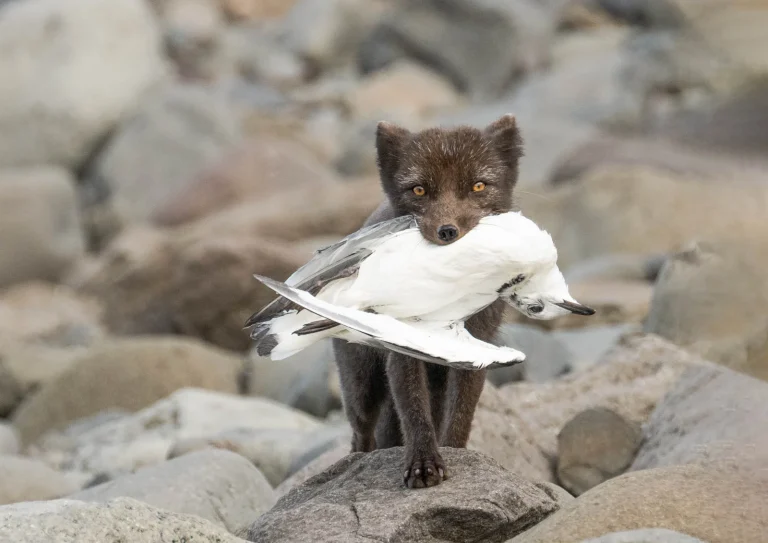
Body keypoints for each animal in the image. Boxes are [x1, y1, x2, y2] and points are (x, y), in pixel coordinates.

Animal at [333, 113, 524, 488]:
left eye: (478, 186)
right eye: (419, 190)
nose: (448, 231)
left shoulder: (476, 348)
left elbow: (460, 414)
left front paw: (455, 454)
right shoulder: (401, 353)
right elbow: (414, 412)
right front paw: (423, 465)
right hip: (362, 386)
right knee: (362, 433)